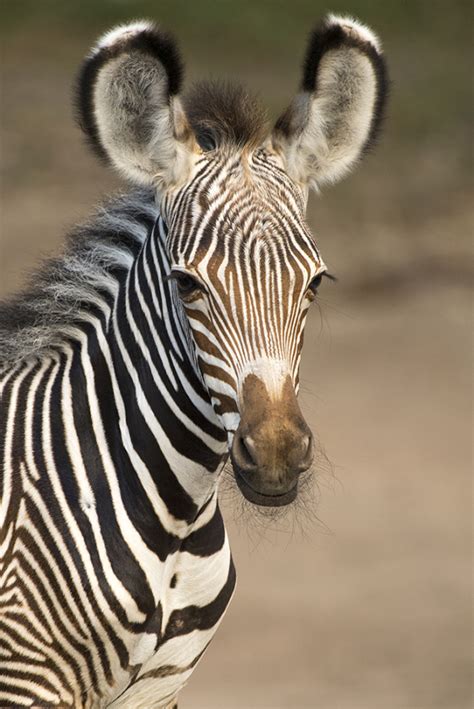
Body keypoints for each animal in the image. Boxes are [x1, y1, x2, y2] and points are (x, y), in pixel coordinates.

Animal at [0, 15, 386, 708]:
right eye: (186, 285)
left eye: (316, 283)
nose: (278, 456)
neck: (174, 525)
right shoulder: (26, 680)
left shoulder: (160, 688)